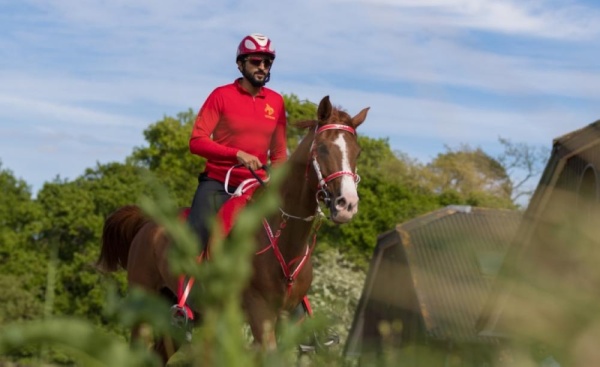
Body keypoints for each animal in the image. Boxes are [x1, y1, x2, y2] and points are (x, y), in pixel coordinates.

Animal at [96, 96, 368, 364]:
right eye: (322, 148)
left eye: (357, 151)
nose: (347, 204)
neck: (282, 242)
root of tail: (147, 224)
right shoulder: (259, 313)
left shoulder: (290, 319)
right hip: (144, 308)